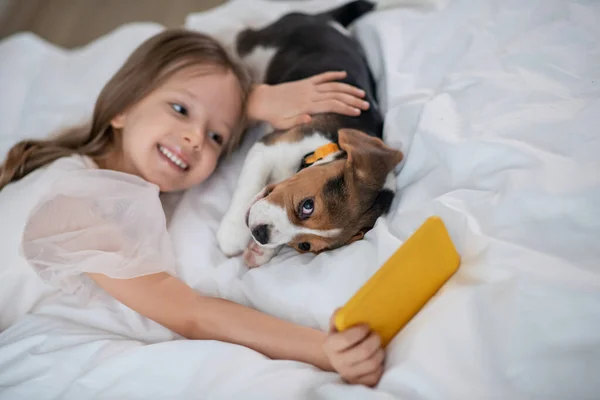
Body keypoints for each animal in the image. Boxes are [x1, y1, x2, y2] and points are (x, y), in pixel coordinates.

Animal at [216, 2, 404, 268]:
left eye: (304, 246)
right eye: (307, 206)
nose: (260, 234)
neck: (322, 147)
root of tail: (324, 19)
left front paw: (261, 251)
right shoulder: (268, 147)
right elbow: (248, 186)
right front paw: (233, 232)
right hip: (260, 46)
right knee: (242, 37)